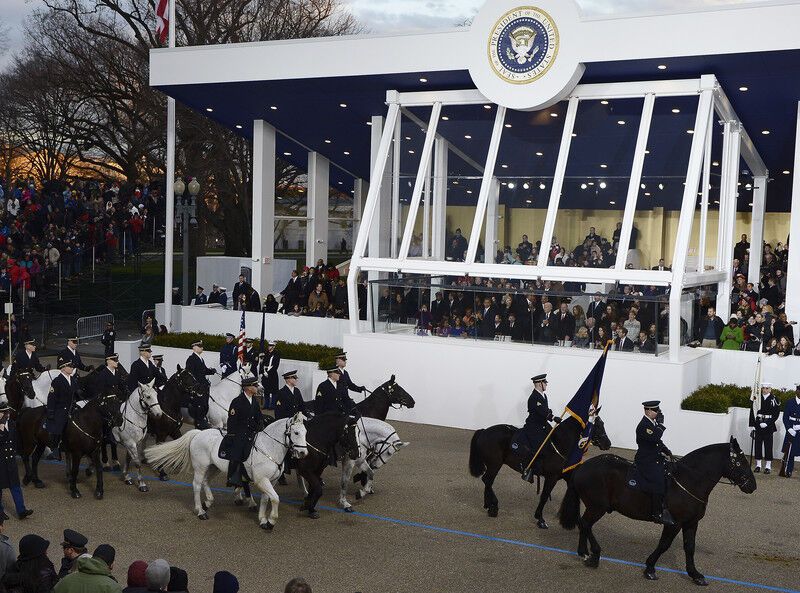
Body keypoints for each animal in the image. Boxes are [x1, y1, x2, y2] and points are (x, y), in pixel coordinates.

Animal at [145, 412, 308, 528]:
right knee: (197, 485)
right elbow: (275, 498)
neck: (268, 447)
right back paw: (200, 511)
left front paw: (263, 520)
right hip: (200, 467)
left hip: (214, 467)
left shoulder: (271, 481)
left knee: (205, 482)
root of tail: (198, 433)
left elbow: (266, 499)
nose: (303, 453)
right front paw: (271, 521)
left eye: (306, 432)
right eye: (296, 433)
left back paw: (208, 502)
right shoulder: (262, 480)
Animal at [466, 412, 608, 528]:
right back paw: (493, 507)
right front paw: (540, 518)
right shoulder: (552, 477)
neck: (560, 444)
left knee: (487, 481)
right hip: (495, 464)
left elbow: (574, 492)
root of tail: (484, 431)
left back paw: (489, 505)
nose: (608, 443)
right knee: (488, 480)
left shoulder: (567, 476)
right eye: (598, 425)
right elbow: (544, 496)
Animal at [560, 434, 752, 584]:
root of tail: (583, 466)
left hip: (594, 507)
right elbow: (664, 545)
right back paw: (594, 556)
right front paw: (650, 568)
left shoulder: (691, 523)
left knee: (584, 524)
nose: (752, 485)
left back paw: (584, 553)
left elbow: (690, 547)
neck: (689, 480)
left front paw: (695, 574)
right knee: (585, 524)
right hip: (597, 507)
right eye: (740, 462)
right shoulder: (674, 523)